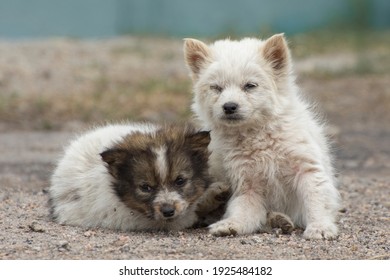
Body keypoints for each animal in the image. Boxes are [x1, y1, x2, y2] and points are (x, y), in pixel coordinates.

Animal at [184, 32, 340, 238]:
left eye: (250, 86)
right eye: (216, 87)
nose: (229, 107)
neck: (257, 134)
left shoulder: (307, 169)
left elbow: (316, 199)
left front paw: (320, 227)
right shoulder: (247, 183)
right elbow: (242, 210)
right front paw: (231, 224)